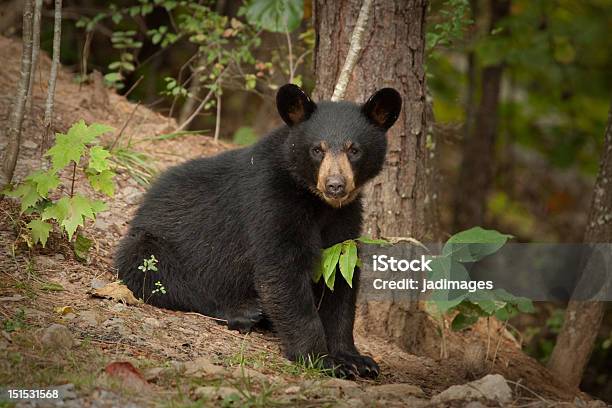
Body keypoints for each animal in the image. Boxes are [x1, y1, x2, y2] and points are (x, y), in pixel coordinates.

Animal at [115, 84, 402, 378]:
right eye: (317, 149)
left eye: (354, 150)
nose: (335, 185)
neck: (318, 203)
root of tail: (145, 203)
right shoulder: (271, 200)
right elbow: (281, 271)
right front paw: (319, 359)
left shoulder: (345, 217)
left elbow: (341, 278)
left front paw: (356, 359)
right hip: (152, 243)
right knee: (157, 275)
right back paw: (243, 311)